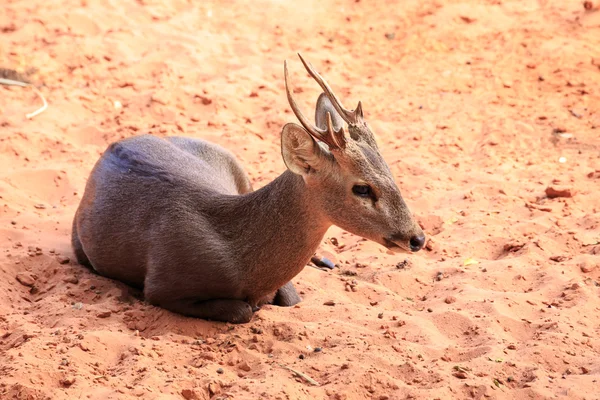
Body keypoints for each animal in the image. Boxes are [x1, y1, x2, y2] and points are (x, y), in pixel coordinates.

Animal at [71, 53, 426, 324]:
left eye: (390, 171)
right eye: (362, 188)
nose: (417, 238)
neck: (240, 260)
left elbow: (292, 298)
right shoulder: (161, 285)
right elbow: (243, 311)